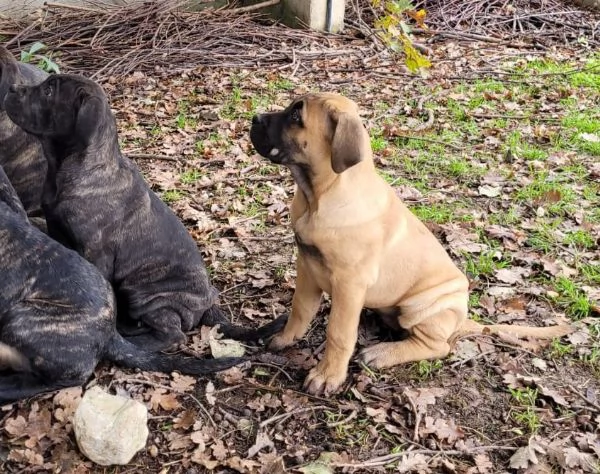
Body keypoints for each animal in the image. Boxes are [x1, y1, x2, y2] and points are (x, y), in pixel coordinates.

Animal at [4, 74, 286, 352]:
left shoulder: (96, 252)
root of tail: (208, 303)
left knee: (174, 336)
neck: (76, 167)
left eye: (49, 91)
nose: (12, 89)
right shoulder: (56, 229)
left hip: (147, 295)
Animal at [248, 93, 572, 396]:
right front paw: (286, 338)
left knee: (437, 346)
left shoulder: (349, 282)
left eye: (295, 116)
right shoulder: (306, 263)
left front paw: (327, 375)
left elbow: (338, 333)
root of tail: (462, 320)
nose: (254, 118)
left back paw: (380, 354)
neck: (318, 196)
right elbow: (300, 308)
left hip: (423, 305)